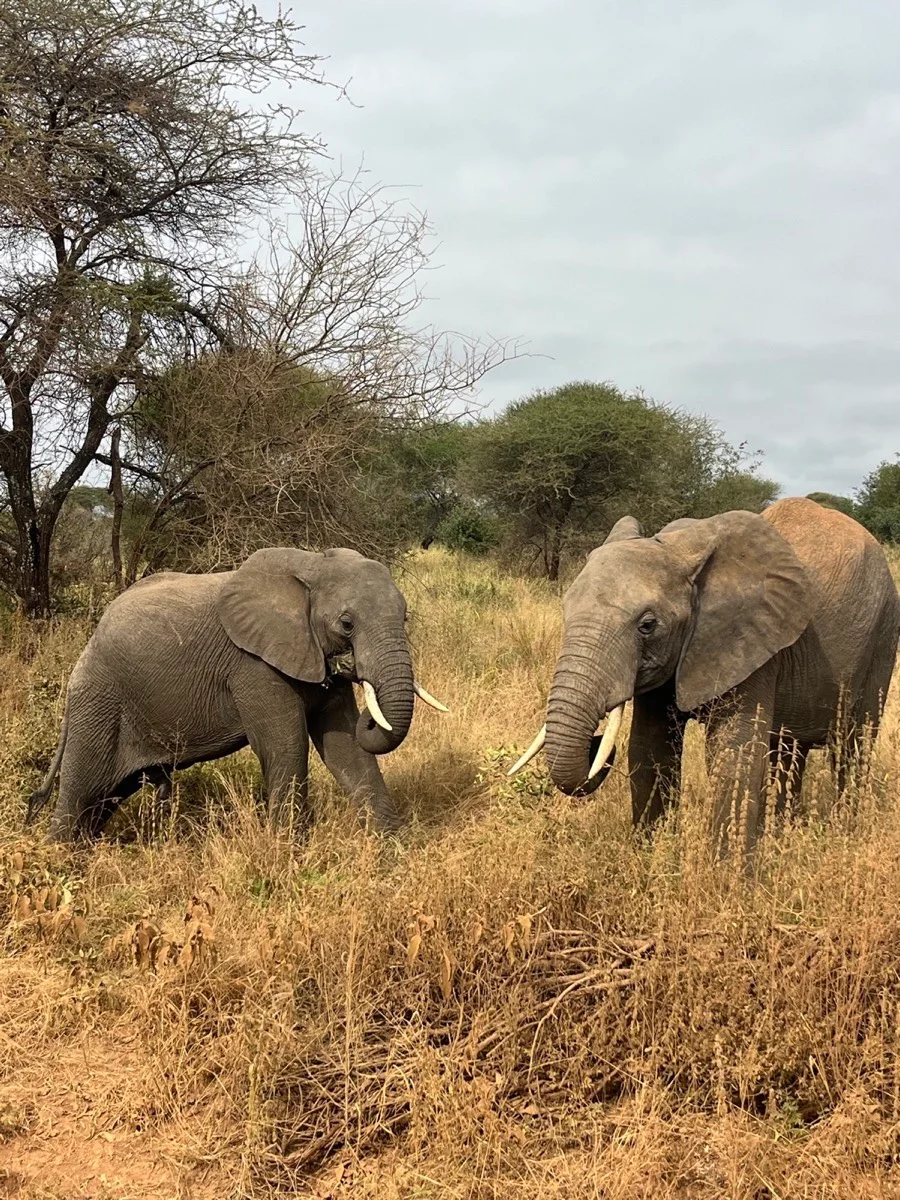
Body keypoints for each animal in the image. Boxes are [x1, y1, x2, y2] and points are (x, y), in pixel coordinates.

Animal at [26, 547, 448, 842]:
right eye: (346, 624)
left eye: (405, 617)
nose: (354, 671)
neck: (310, 566)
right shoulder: (252, 666)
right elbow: (286, 744)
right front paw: (290, 855)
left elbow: (345, 747)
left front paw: (395, 850)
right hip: (98, 701)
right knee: (81, 793)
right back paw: (60, 861)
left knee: (104, 801)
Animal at [509, 498, 900, 857]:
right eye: (566, 609)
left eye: (647, 625)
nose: (597, 743)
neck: (678, 548)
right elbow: (650, 749)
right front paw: (652, 858)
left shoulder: (750, 642)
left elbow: (735, 755)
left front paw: (727, 874)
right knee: (790, 751)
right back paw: (782, 835)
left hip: (883, 636)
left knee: (854, 747)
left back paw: (844, 831)